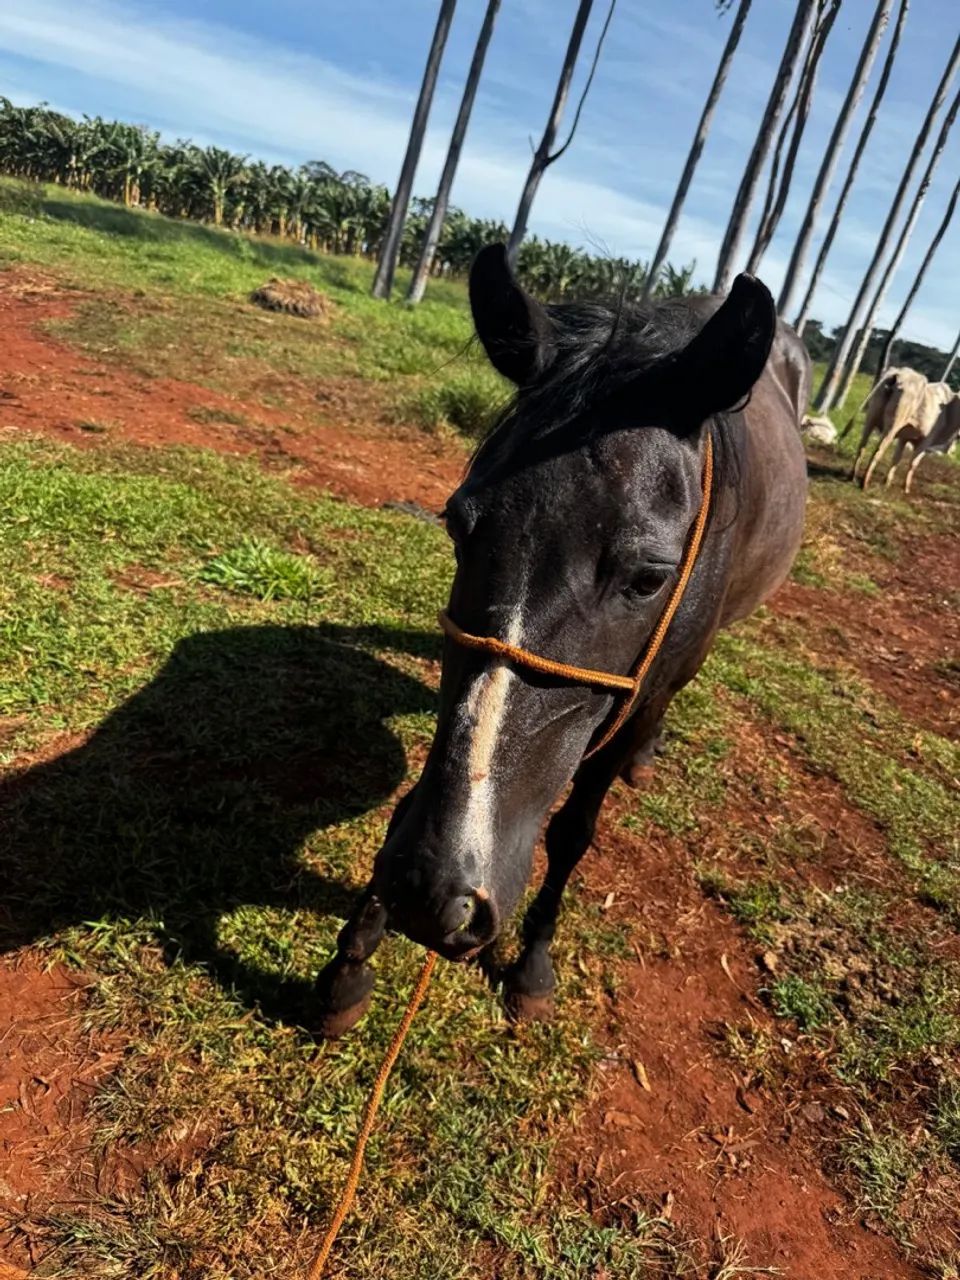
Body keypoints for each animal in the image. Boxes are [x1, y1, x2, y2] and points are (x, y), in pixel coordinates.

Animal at [315, 245, 809, 1035]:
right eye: (458, 525)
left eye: (648, 578)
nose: (435, 889)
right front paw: (352, 959)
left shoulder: (636, 697)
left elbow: (573, 832)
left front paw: (532, 965)